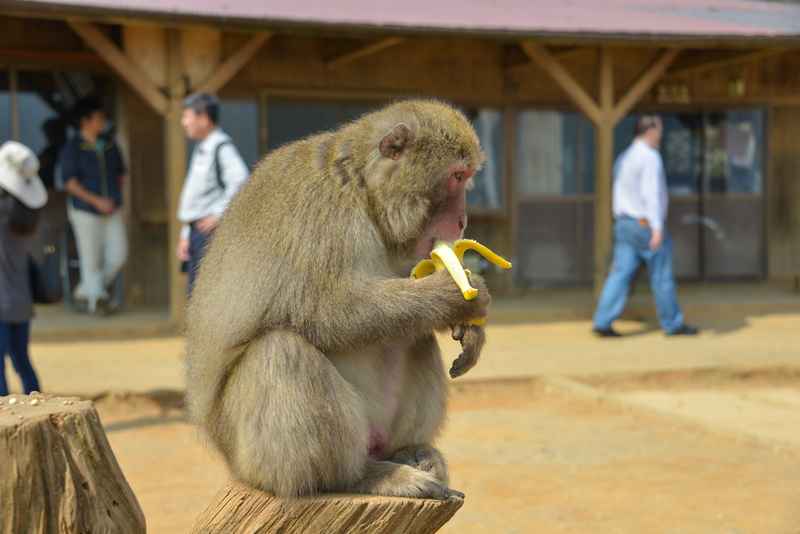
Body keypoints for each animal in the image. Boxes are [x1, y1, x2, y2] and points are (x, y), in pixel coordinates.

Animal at [185, 99, 494, 500]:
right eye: (457, 177)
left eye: (467, 177)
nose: (462, 220)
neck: (362, 191)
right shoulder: (319, 208)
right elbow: (323, 310)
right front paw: (456, 295)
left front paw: (469, 329)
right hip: (252, 458)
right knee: (281, 350)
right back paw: (360, 476)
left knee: (414, 335)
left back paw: (410, 451)